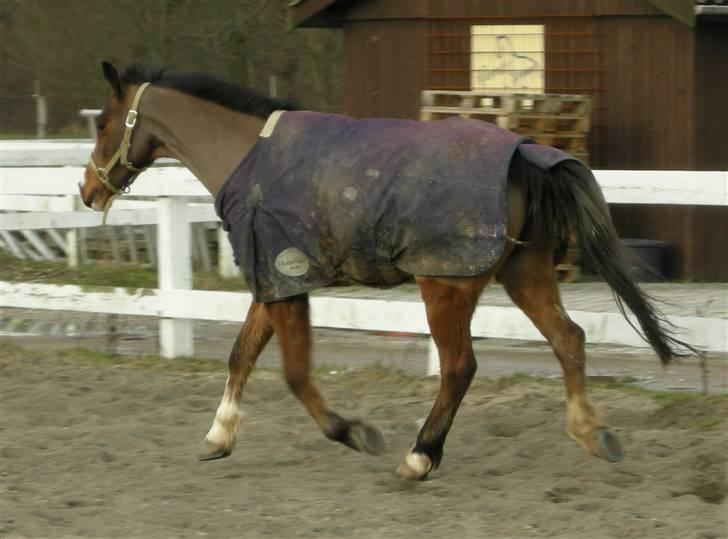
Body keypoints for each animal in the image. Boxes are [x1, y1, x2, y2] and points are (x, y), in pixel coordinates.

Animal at [79, 61, 696, 480]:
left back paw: (420, 456)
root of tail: (524, 155)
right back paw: (592, 433)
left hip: (446, 287)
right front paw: (218, 435)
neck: (249, 156)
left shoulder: (287, 279)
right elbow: (241, 355)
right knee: (569, 340)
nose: (87, 191)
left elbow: (294, 373)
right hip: (526, 273)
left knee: (460, 367)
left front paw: (354, 432)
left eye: (104, 123)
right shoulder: (272, 281)